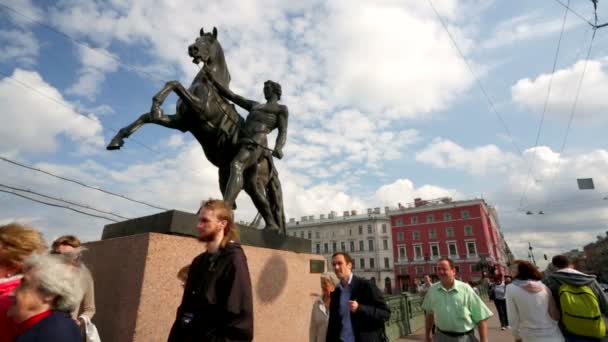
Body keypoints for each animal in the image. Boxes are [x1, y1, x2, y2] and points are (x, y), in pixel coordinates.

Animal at [107, 28, 288, 234]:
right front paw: (117, 139)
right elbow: (147, 117)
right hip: (236, 175)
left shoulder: (199, 109)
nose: (192, 49)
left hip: (251, 171)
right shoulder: (182, 123)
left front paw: (156, 103)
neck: (208, 89)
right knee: (254, 198)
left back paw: (269, 228)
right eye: (196, 39)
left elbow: (175, 83)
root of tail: (268, 155)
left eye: (208, 41)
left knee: (255, 197)